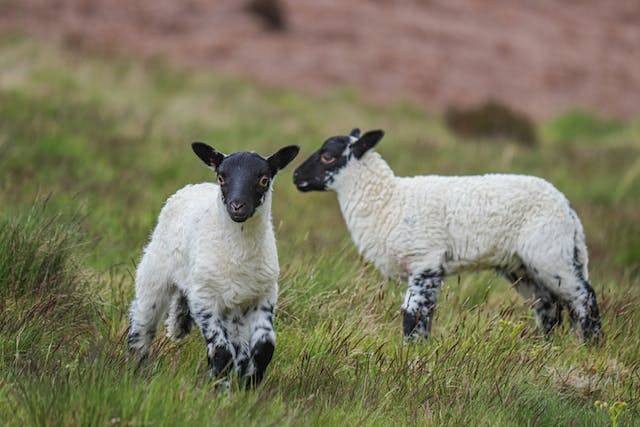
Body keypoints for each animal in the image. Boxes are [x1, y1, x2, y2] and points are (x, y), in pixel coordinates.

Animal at [130, 141, 302, 388]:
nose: (237, 206)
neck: (239, 251)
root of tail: (193, 187)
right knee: (142, 320)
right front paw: (218, 389)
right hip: (155, 273)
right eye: (221, 177)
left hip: (233, 308)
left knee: (239, 345)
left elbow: (264, 347)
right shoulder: (204, 297)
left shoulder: (264, 295)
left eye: (264, 179)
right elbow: (221, 352)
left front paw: (250, 385)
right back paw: (137, 368)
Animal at [292, 129, 604, 342]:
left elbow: (413, 313)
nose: (296, 177)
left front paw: (411, 352)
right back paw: (544, 346)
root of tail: (568, 209)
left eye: (328, 155)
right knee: (547, 305)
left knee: (583, 297)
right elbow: (423, 315)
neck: (389, 201)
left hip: (549, 252)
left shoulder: (425, 260)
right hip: (521, 265)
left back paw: (590, 346)